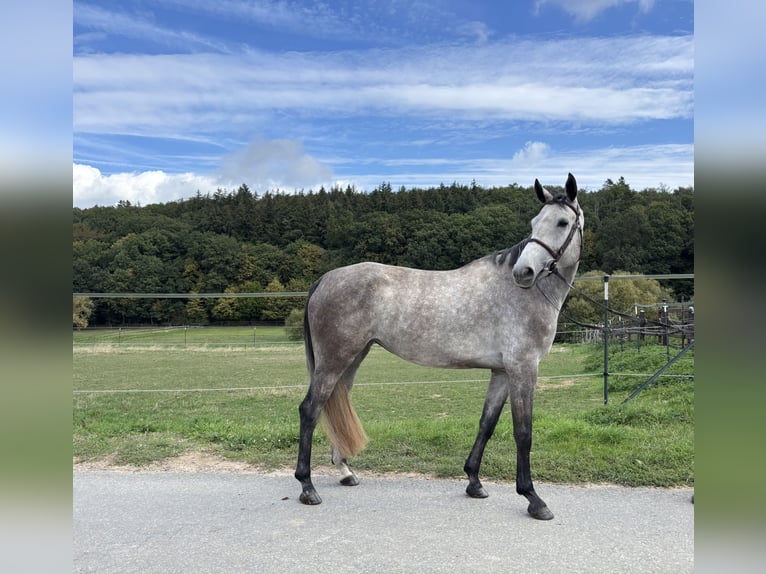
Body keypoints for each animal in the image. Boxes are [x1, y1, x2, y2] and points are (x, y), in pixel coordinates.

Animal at [295, 173, 583, 520]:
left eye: (563, 222)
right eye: (534, 223)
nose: (523, 272)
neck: (525, 294)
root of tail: (325, 279)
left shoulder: (502, 372)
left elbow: (487, 424)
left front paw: (474, 482)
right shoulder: (523, 369)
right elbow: (523, 433)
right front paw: (533, 498)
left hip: (351, 359)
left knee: (333, 407)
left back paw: (345, 472)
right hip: (333, 360)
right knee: (310, 410)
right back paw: (307, 487)